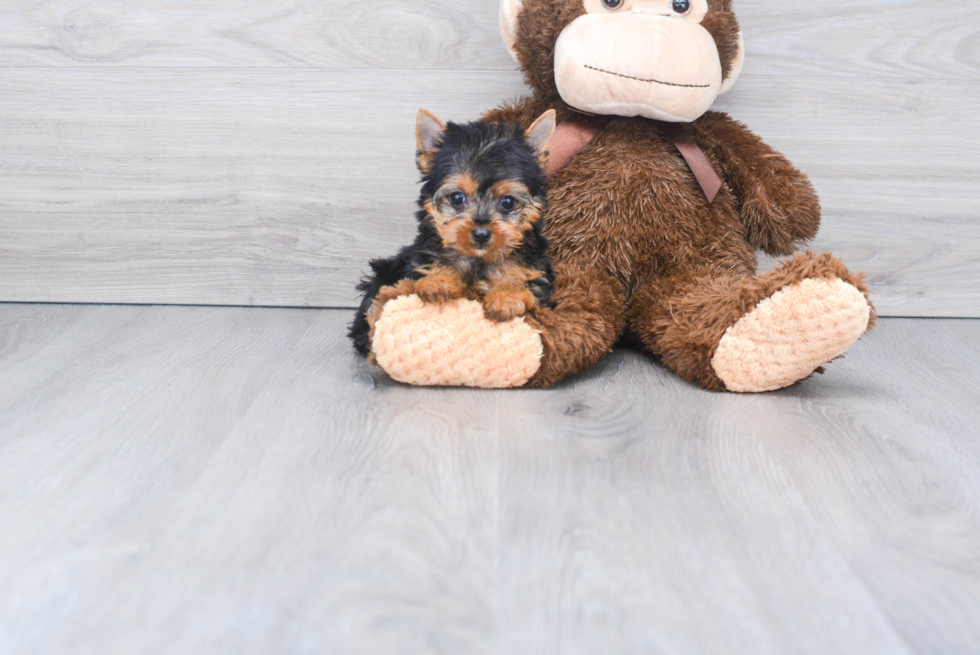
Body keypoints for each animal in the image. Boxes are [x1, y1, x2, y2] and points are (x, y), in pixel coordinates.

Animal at [348, 107, 556, 356]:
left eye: (508, 202)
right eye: (457, 198)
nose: (481, 234)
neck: (478, 259)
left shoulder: (536, 272)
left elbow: (520, 278)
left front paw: (507, 296)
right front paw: (440, 281)